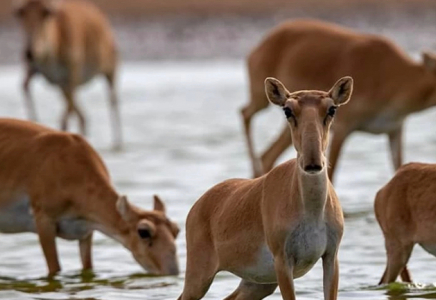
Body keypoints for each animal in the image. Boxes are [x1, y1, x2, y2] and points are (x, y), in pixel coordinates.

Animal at [0, 118, 180, 276]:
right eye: (143, 231)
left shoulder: (86, 232)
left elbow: (88, 267)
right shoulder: (44, 221)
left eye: (176, 230)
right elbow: (55, 269)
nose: (173, 272)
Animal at [14, 0, 122, 150]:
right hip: (62, 84)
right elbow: (24, 86)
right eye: (21, 14)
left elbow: (65, 116)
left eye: (46, 13)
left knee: (112, 101)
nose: (29, 52)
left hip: (110, 70)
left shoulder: (72, 75)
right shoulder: (39, 72)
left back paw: (117, 144)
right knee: (82, 116)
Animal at [177, 75, 350, 300]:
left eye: (332, 109)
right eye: (287, 110)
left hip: (257, 283)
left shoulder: (331, 257)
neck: (311, 210)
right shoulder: (283, 261)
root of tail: (197, 207)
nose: (312, 163)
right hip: (199, 277)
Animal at [242, 19, 436, 179]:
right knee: (245, 113)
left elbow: (399, 168)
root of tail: (262, 44)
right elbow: (332, 173)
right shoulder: (343, 129)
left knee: (267, 155)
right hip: (261, 99)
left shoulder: (394, 130)